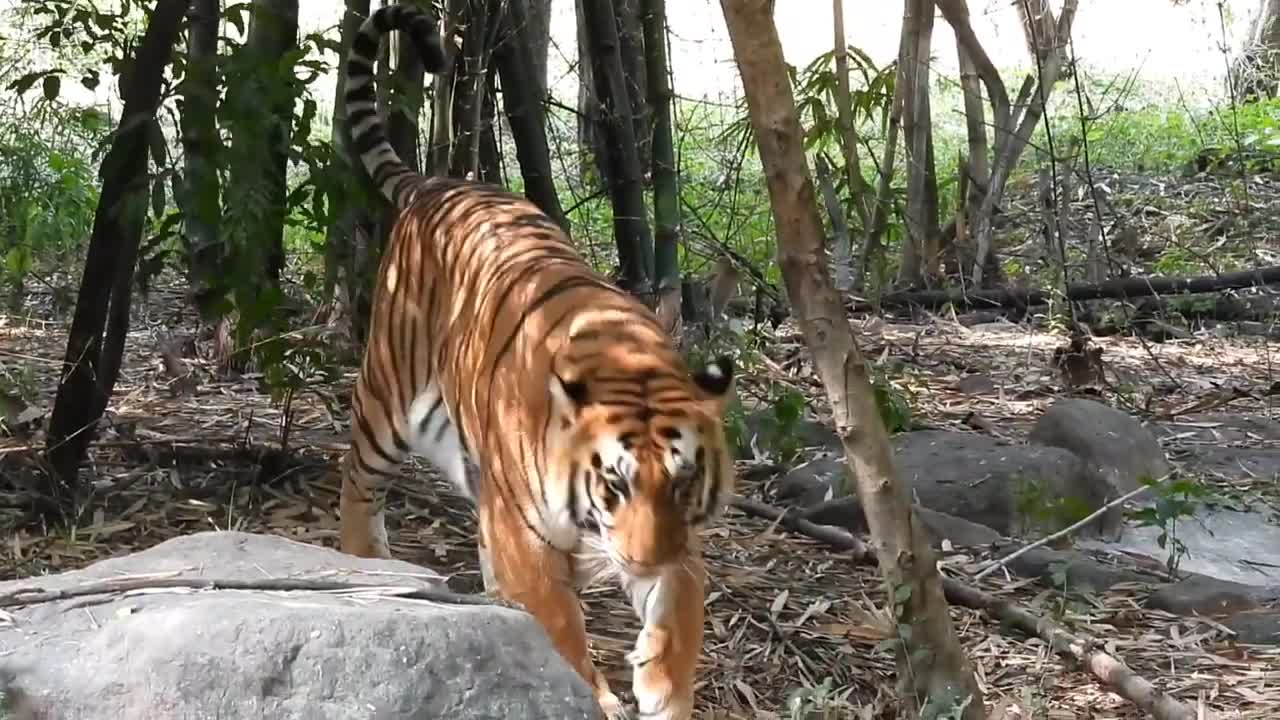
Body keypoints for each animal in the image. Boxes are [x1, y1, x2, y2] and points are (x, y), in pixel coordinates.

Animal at [340, 7, 737, 717]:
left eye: (683, 482)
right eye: (615, 485)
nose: (642, 562)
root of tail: (437, 181)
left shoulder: (678, 543)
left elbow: (680, 613)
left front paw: (661, 687)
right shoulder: (529, 540)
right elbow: (561, 630)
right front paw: (595, 695)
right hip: (389, 393)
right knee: (357, 479)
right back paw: (362, 559)